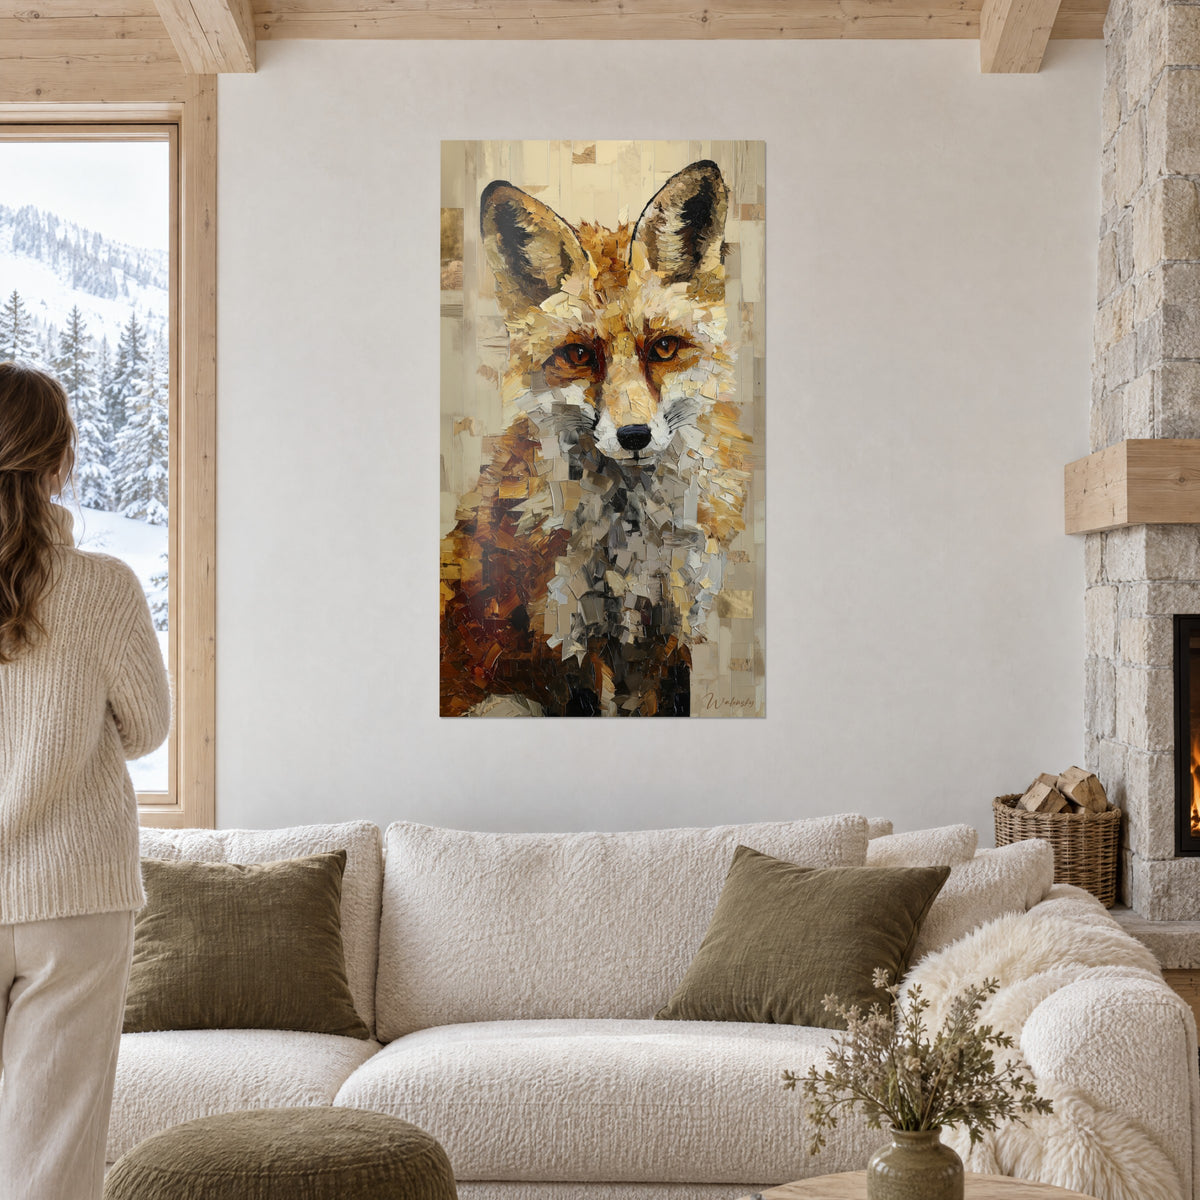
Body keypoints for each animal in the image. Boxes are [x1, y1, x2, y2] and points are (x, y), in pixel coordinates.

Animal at [440, 159, 750, 717]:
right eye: (581, 355)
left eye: (663, 347)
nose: (634, 435)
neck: (632, 544)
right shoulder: (563, 641)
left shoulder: (671, 629)